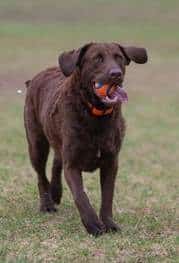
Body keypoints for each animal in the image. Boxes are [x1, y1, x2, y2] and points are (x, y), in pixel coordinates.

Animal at [23, 42, 148, 237]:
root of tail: (35, 78)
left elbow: (107, 196)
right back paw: (47, 204)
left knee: (57, 161)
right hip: (36, 144)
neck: (95, 114)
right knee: (41, 175)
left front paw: (109, 224)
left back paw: (56, 192)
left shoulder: (111, 162)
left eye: (119, 57)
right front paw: (93, 225)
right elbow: (81, 196)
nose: (116, 74)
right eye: (97, 58)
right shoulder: (72, 165)